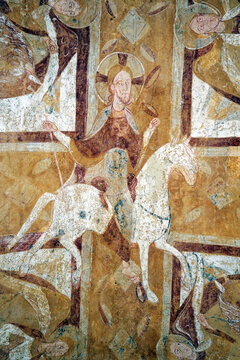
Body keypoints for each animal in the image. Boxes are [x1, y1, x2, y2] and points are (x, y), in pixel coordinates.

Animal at [130, 139, 198, 302]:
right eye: (182, 153)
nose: (196, 170)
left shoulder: (160, 242)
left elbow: (180, 255)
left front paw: (187, 281)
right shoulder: (143, 244)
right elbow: (145, 270)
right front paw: (150, 295)